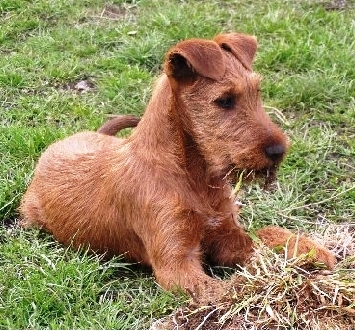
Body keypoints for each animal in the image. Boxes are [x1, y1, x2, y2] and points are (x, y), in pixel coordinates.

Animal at [19, 33, 336, 298]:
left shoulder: (225, 233)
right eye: (224, 100)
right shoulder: (177, 264)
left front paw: (311, 251)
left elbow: (265, 236)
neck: (193, 177)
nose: (278, 151)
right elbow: (231, 290)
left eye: (257, 91)